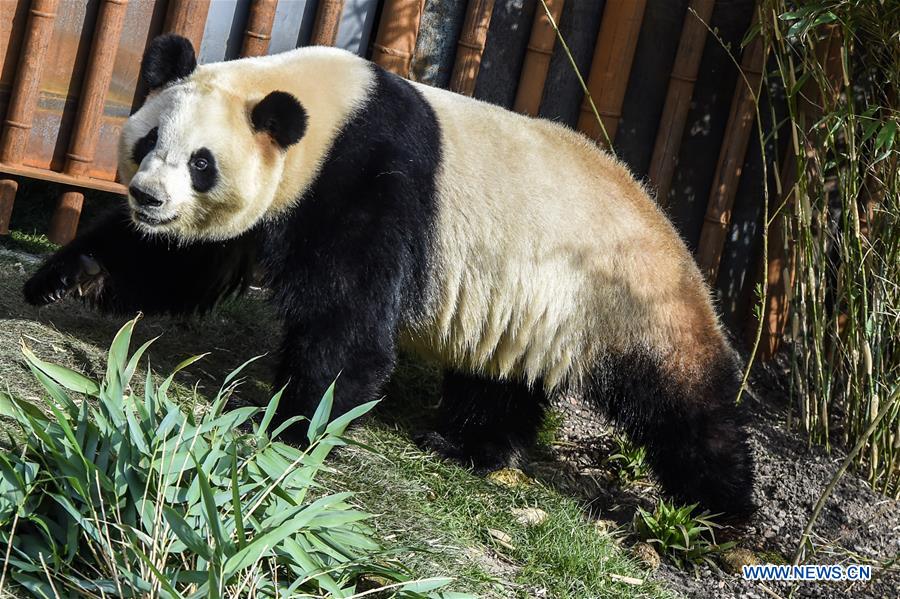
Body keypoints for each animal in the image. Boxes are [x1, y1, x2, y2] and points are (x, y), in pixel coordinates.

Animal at [25, 34, 754, 516]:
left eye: (201, 163)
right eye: (149, 141)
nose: (148, 197)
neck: (322, 109)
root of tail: (673, 230)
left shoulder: (365, 176)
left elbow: (347, 316)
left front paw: (298, 421)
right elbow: (184, 258)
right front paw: (67, 278)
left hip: (622, 298)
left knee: (682, 403)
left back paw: (720, 507)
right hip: (529, 303)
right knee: (500, 380)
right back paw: (466, 444)